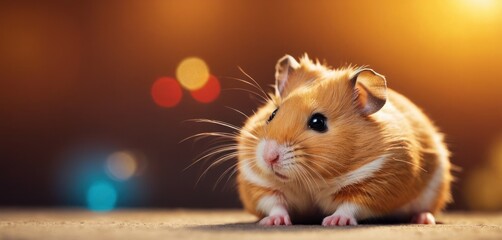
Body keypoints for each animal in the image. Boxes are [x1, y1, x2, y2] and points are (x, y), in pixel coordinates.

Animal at [235, 55, 452, 226]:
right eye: (272, 114)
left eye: (318, 122)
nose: (269, 157)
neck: (311, 181)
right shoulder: (257, 181)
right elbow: (273, 202)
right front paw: (274, 222)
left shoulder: (381, 180)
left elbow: (352, 204)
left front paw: (334, 221)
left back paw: (423, 219)